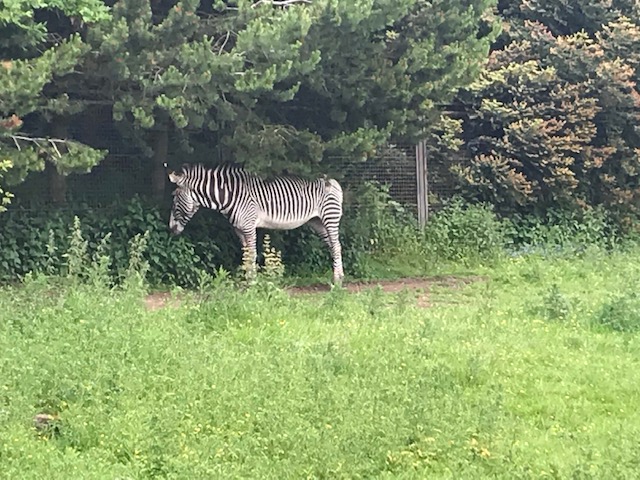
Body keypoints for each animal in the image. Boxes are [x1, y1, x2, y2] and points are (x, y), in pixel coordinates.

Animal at [165, 163, 344, 286]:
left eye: (174, 198)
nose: (171, 229)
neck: (229, 197)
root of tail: (332, 181)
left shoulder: (249, 226)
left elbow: (251, 254)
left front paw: (252, 283)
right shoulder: (239, 229)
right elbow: (245, 255)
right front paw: (246, 281)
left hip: (330, 217)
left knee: (336, 245)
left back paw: (337, 281)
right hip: (318, 222)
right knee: (333, 245)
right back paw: (338, 276)